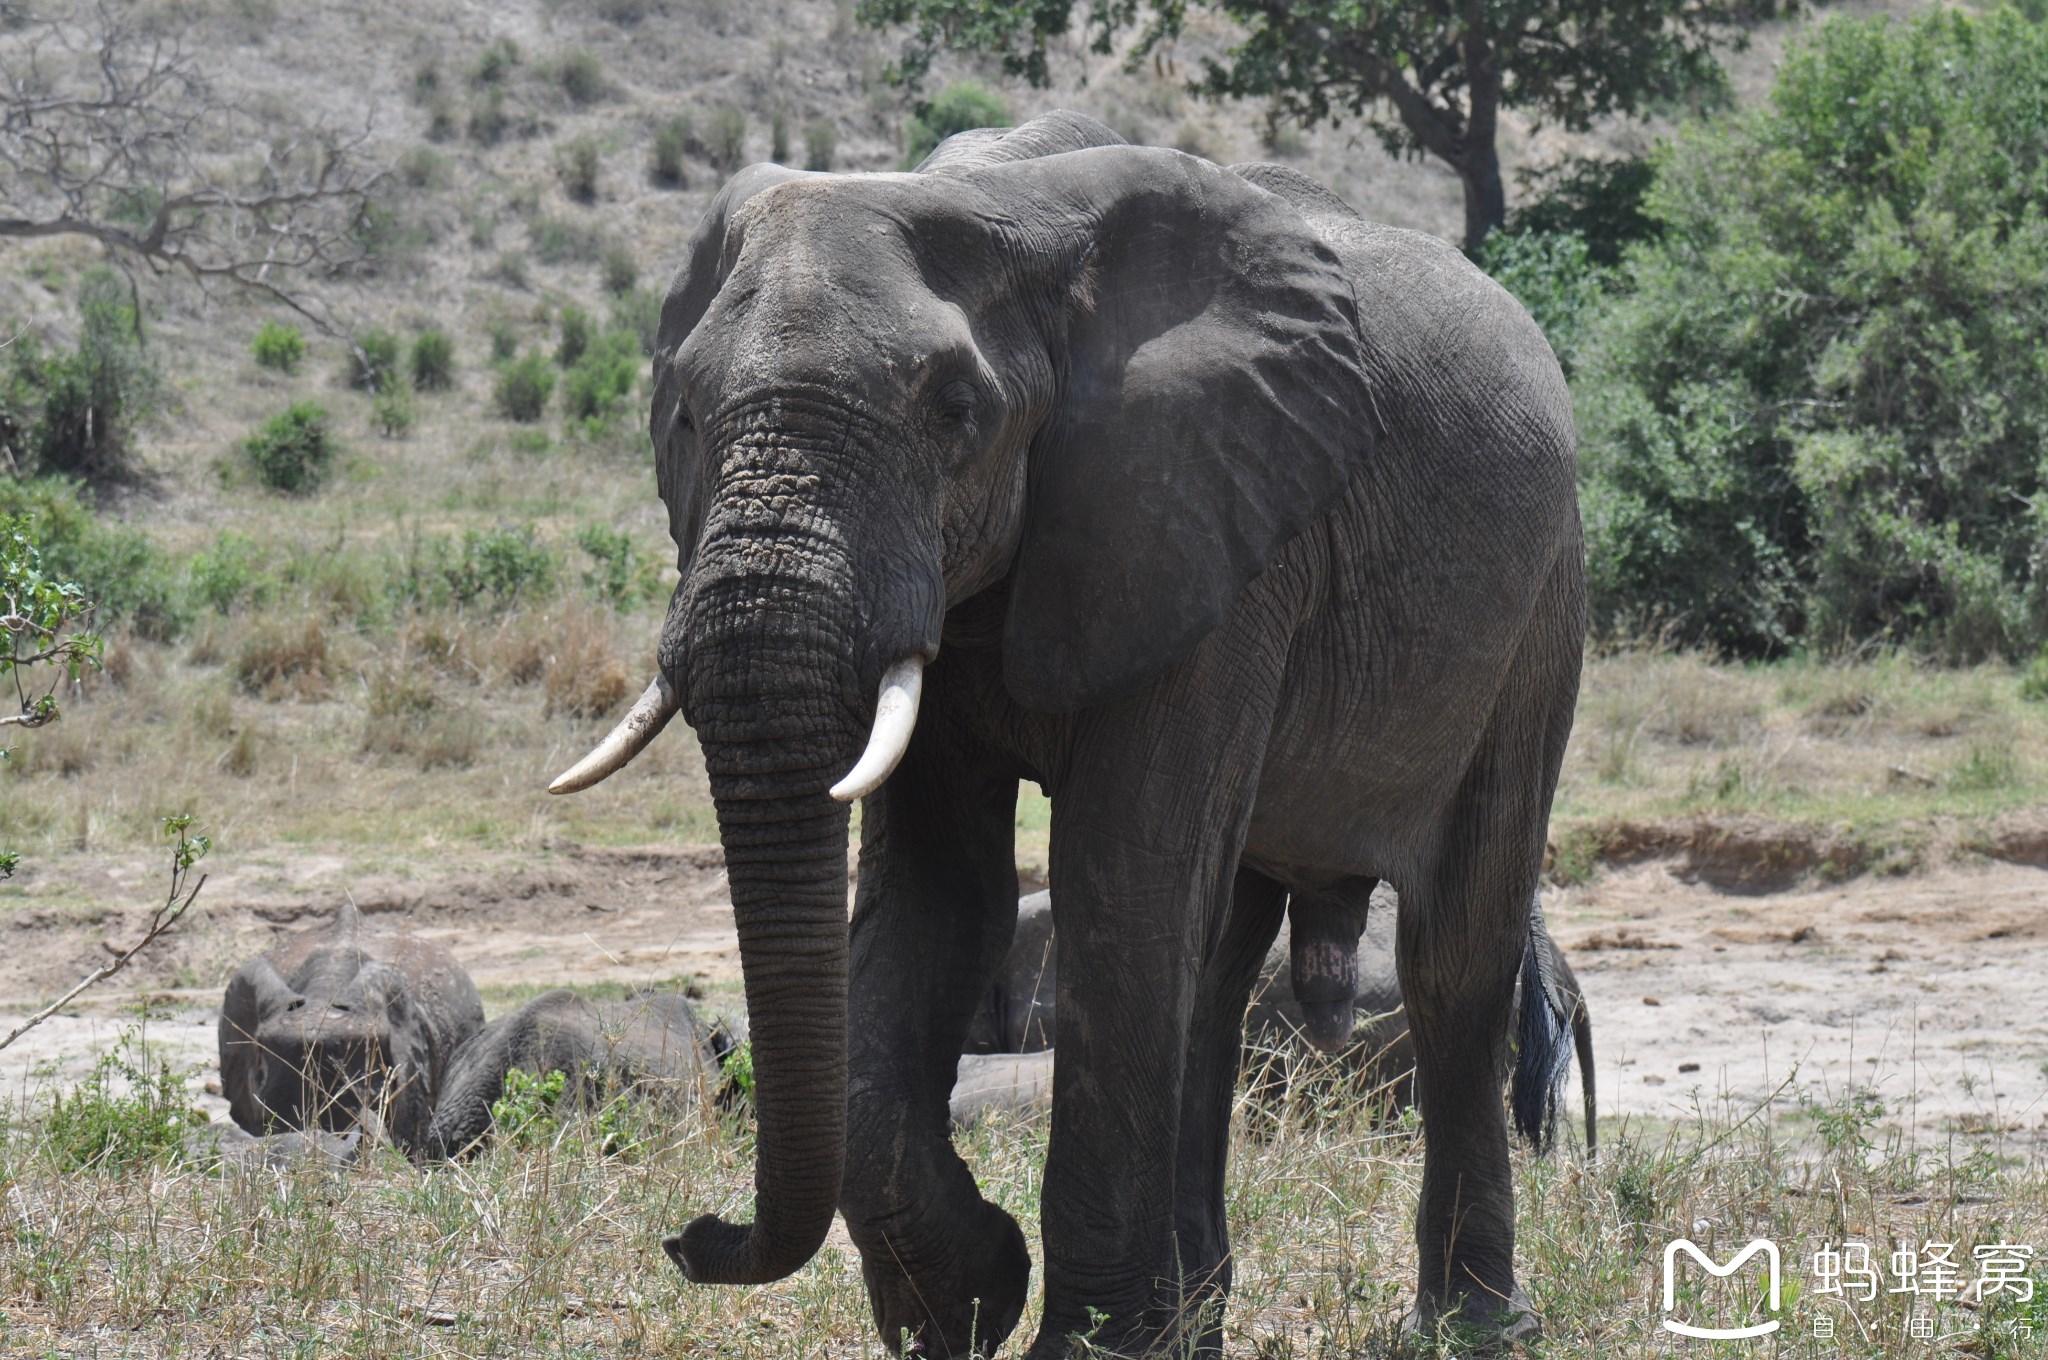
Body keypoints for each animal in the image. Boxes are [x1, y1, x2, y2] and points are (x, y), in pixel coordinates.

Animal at [548, 106, 1581, 1351]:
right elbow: (944, 894)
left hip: (1540, 602)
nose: (694, 1236)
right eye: (688, 416)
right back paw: (1193, 1323)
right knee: (1212, 972)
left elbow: (1116, 878)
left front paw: (1065, 1335)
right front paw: (963, 1300)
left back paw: (1466, 1326)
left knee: (1449, 953)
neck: (1006, 208)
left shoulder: (1208, 520)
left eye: (955, 413)